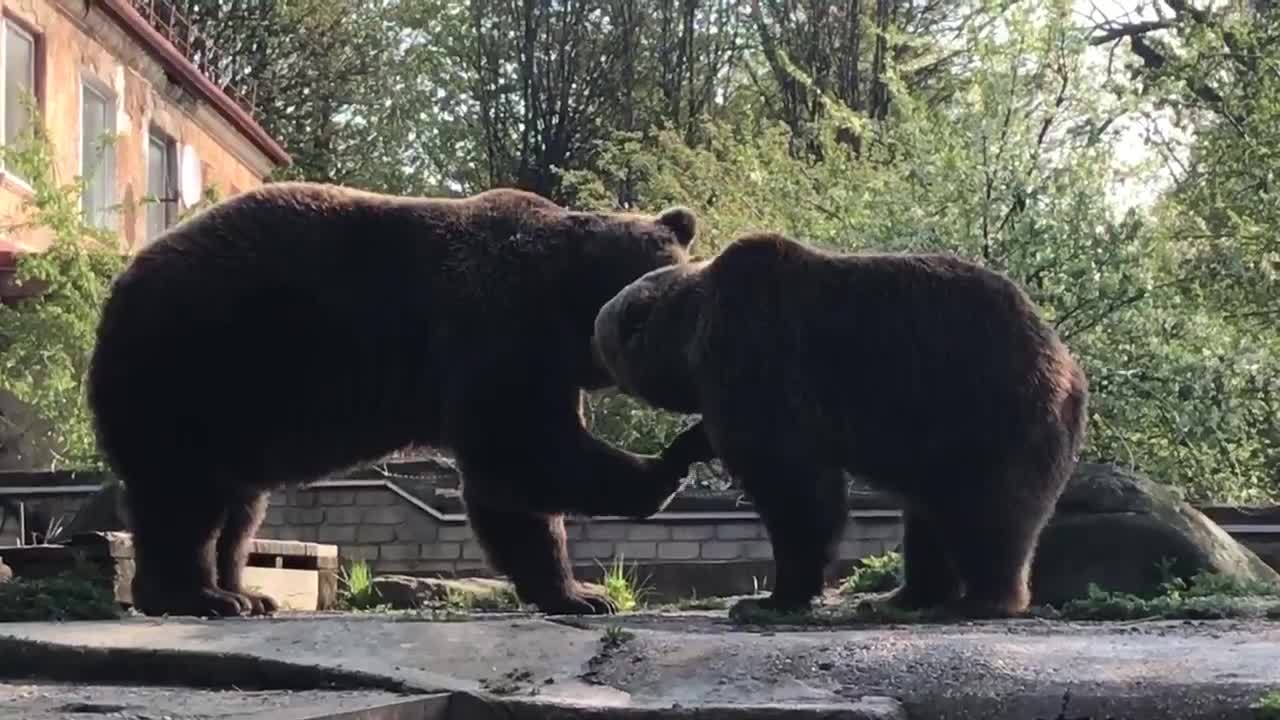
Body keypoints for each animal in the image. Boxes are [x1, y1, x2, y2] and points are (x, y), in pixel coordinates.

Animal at [87, 180, 711, 617]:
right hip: (193, 368)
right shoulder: (495, 336)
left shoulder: (539, 367)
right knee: (185, 493)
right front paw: (672, 464)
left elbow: (514, 496)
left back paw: (246, 592)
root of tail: (121, 283)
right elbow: (519, 458)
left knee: (238, 508)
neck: (563, 308)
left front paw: (577, 592)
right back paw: (198, 595)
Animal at [593, 233, 1085, 614]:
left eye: (601, 334)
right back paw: (904, 596)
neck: (690, 337)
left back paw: (983, 598)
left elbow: (792, 484)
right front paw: (684, 449)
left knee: (986, 511)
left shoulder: (760, 351)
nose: (591, 350)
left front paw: (771, 597)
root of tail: (1069, 366)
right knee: (929, 517)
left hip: (990, 413)